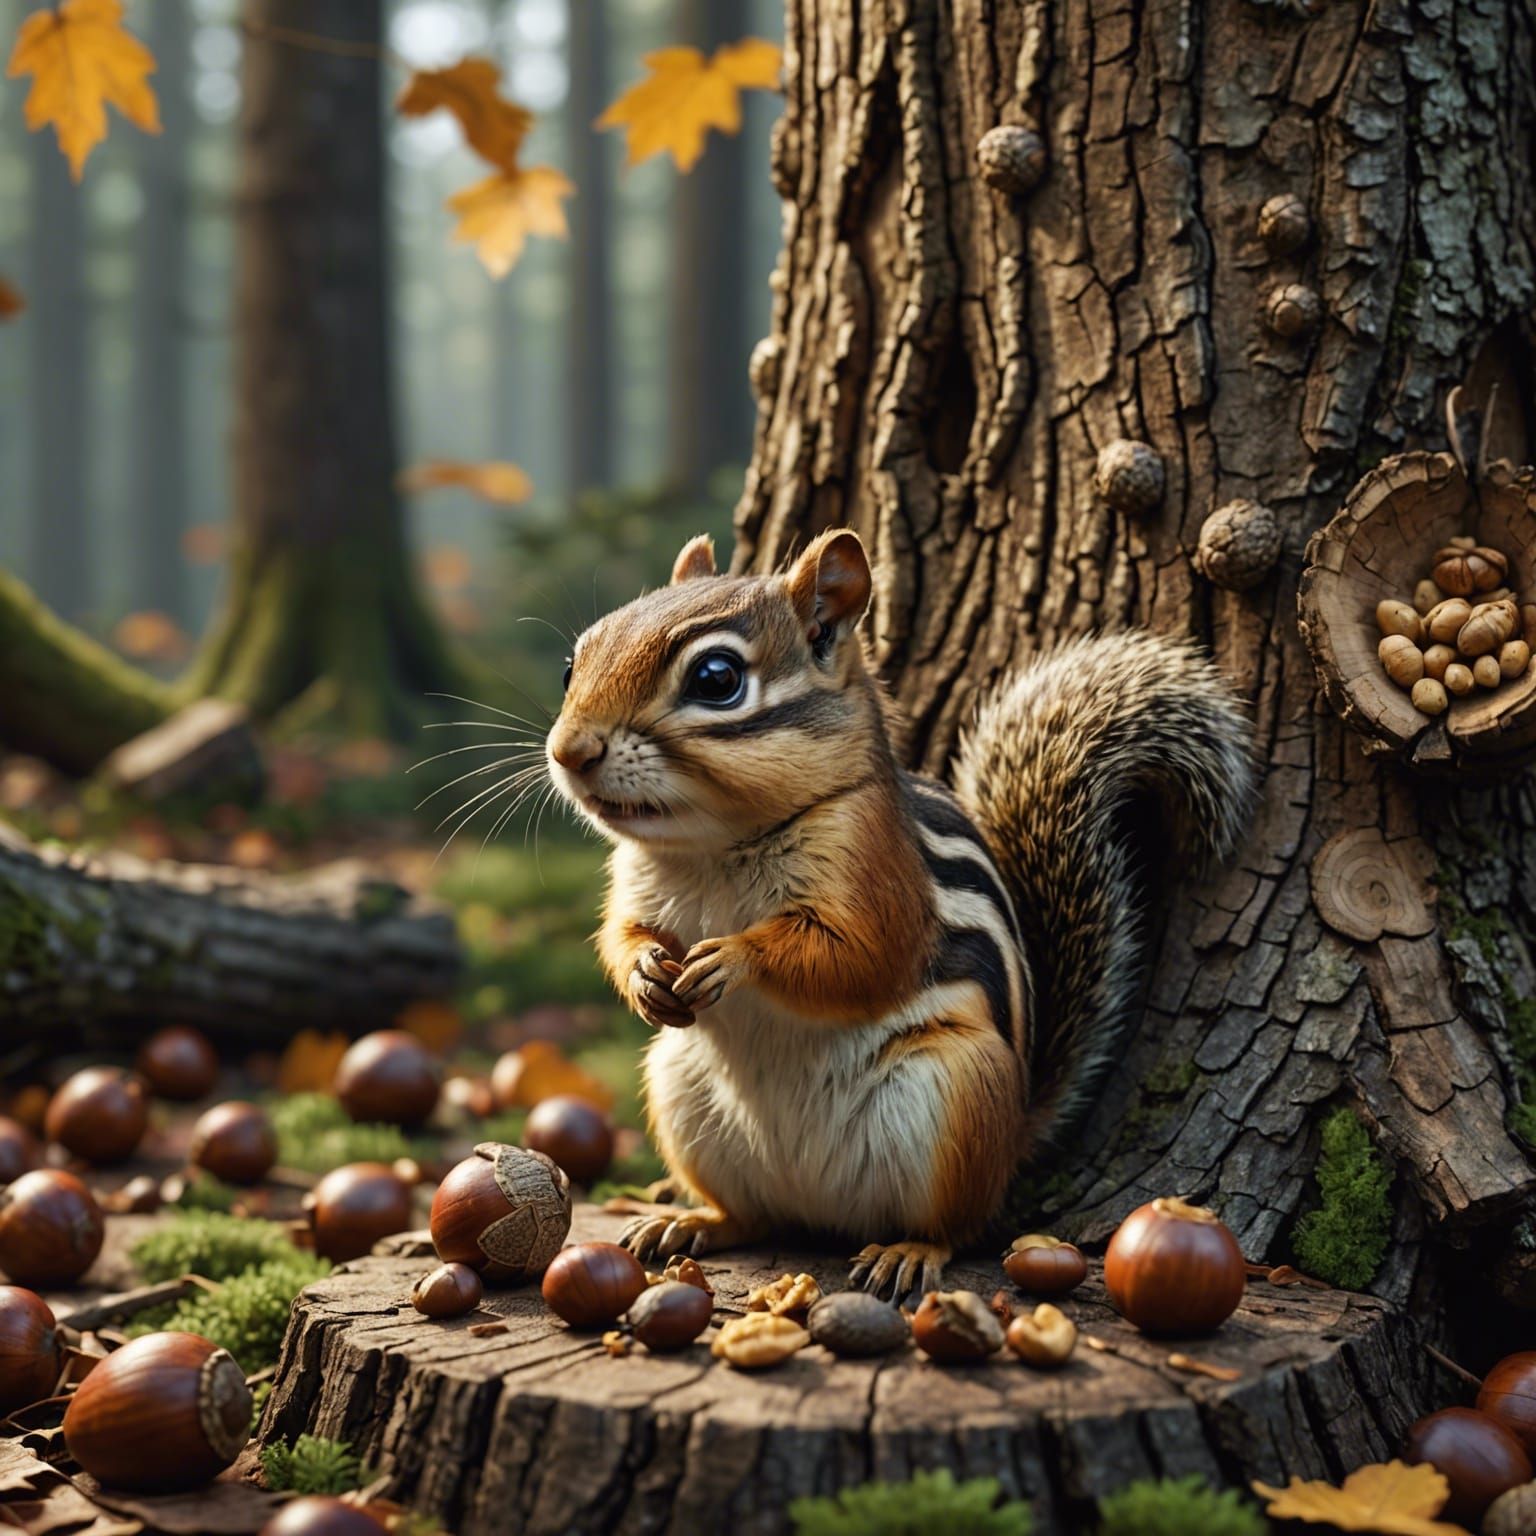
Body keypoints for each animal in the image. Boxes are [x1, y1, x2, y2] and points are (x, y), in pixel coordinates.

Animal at [545, 527, 1257, 1299]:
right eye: (573, 663)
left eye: (715, 678)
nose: (568, 751)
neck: (713, 847)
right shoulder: (634, 882)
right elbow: (621, 934)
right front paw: (646, 972)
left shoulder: (875, 872)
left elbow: (858, 958)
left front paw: (735, 956)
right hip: (681, 1088)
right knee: (753, 1216)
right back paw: (692, 1222)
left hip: (957, 1097)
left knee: (958, 1226)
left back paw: (908, 1252)